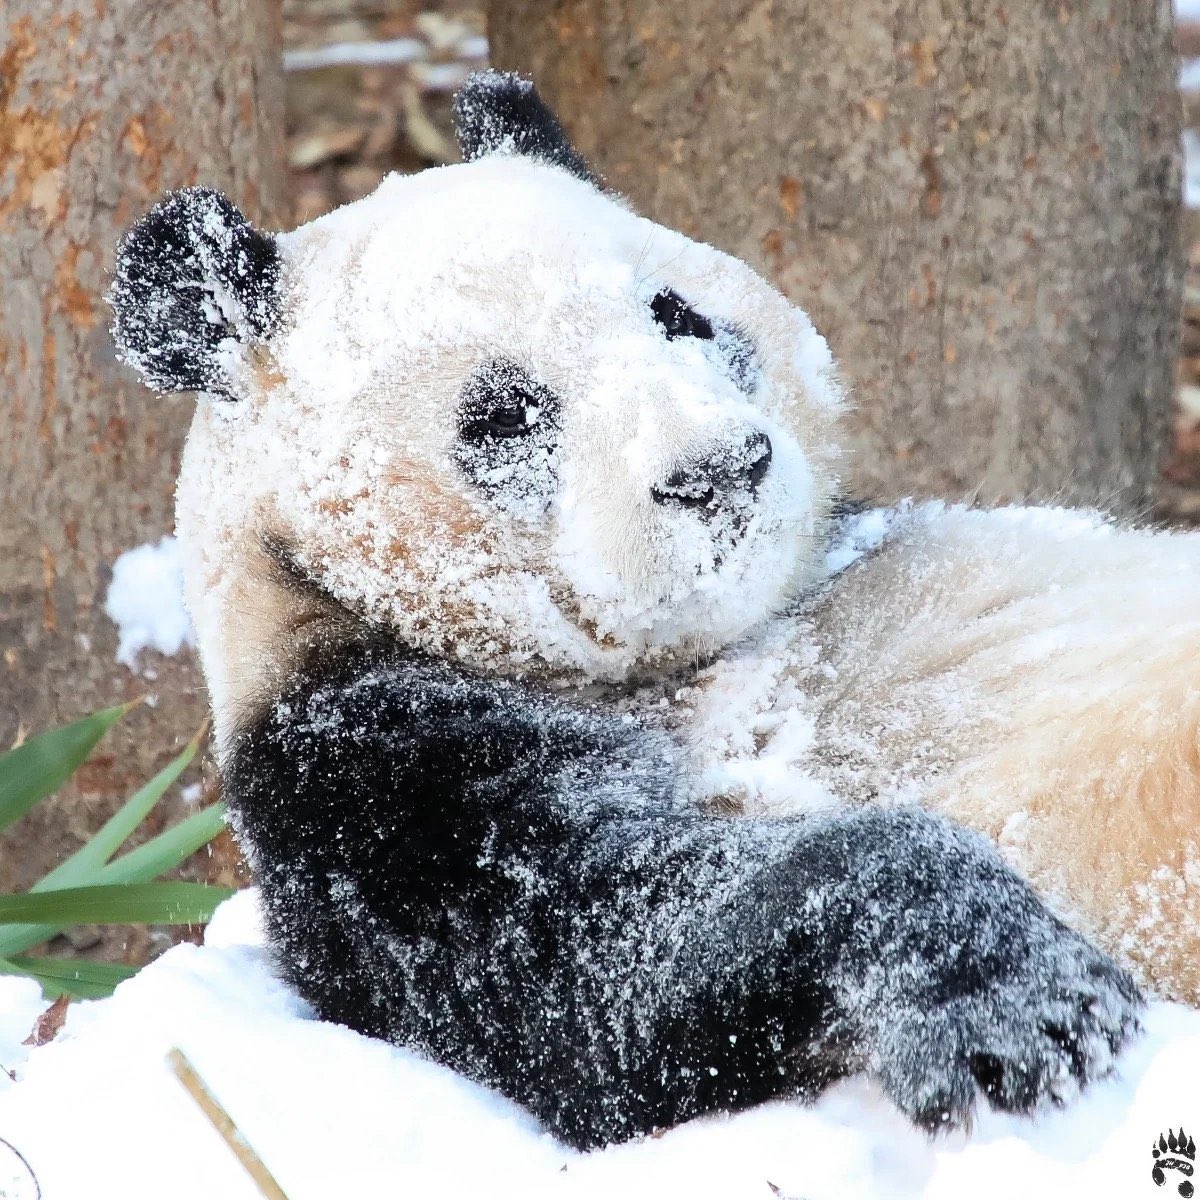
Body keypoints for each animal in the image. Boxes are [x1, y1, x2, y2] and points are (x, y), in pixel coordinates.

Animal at [110, 68, 1171, 1152]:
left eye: (678, 315)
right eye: (502, 414)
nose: (720, 470)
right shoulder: (366, 779)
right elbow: (603, 964)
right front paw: (1017, 997)